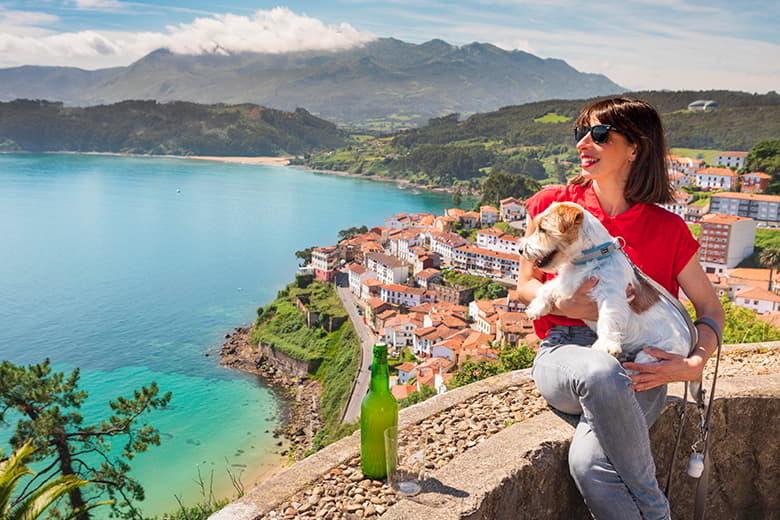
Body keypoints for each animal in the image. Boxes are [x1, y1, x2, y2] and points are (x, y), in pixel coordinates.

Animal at [520, 200, 692, 366]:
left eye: (542, 229)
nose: (521, 250)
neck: (591, 257)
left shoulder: (611, 296)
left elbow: (607, 317)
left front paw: (605, 344)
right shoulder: (567, 284)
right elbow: (546, 288)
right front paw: (536, 307)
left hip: (658, 351)